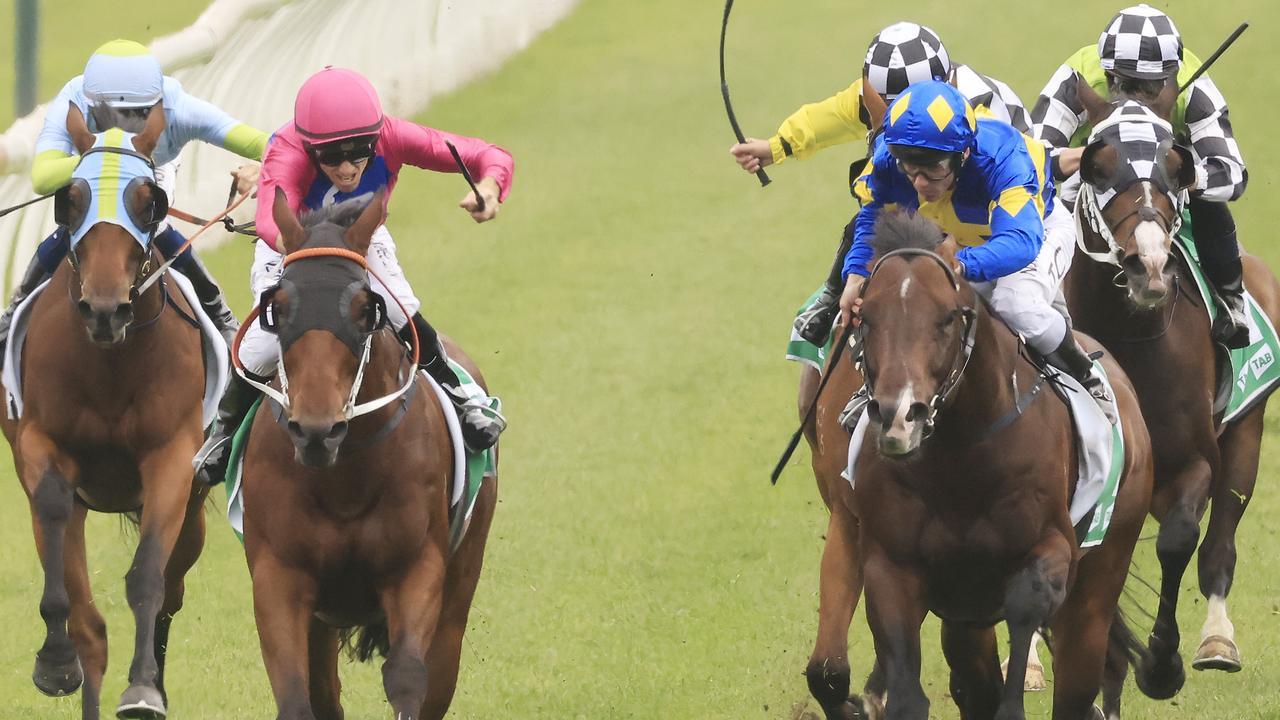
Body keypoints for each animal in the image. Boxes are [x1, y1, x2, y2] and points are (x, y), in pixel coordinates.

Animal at [0, 103, 209, 712]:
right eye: (70, 197)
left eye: (148, 199)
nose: (104, 310)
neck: (112, 368)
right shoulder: (40, 444)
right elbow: (51, 507)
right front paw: (54, 660)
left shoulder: (171, 457)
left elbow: (148, 579)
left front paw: (142, 688)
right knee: (90, 628)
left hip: (194, 511)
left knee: (171, 589)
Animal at [238, 188, 496, 712]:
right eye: (278, 307)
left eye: (365, 308)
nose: (317, 431)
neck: (345, 481)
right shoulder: (279, 577)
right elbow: (296, 695)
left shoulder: (416, 569)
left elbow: (407, 677)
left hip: (459, 588)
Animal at [839, 210, 1162, 712]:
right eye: (866, 317)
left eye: (946, 318)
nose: (899, 416)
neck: (959, 462)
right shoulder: (892, 566)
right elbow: (909, 693)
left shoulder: (1049, 550)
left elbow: (1027, 611)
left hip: (1100, 577)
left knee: (1078, 684)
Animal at [1064, 78, 1280, 676]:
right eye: (1096, 165)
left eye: (1177, 166)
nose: (1151, 266)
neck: (1130, 338)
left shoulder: (1193, 458)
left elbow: (1180, 538)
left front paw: (1161, 660)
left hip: (1247, 432)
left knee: (1220, 540)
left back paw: (1217, 641)